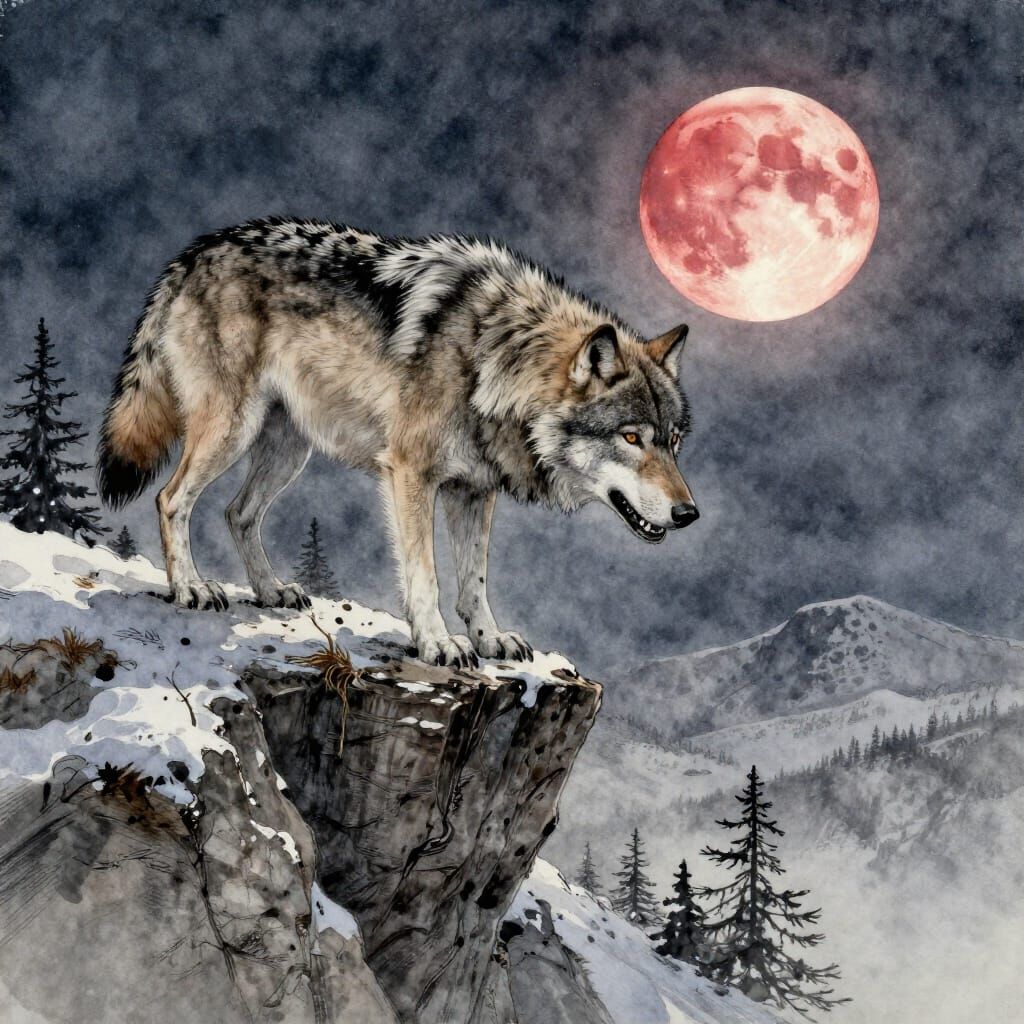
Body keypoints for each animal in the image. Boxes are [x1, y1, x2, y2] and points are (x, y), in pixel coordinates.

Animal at [97, 218, 699, 667]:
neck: (492, 356)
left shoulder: (474, 491)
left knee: (238, 513)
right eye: (631, 438)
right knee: (171, 498)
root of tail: (196, 251)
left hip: (289, 450)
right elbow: (425, 576)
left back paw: (270, 591)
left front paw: (489, 639)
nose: (689, 514)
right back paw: (191, 588)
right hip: (230, 430)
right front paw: (437, 643)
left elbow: (475, 581)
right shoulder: (411, 473)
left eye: (673, 442)